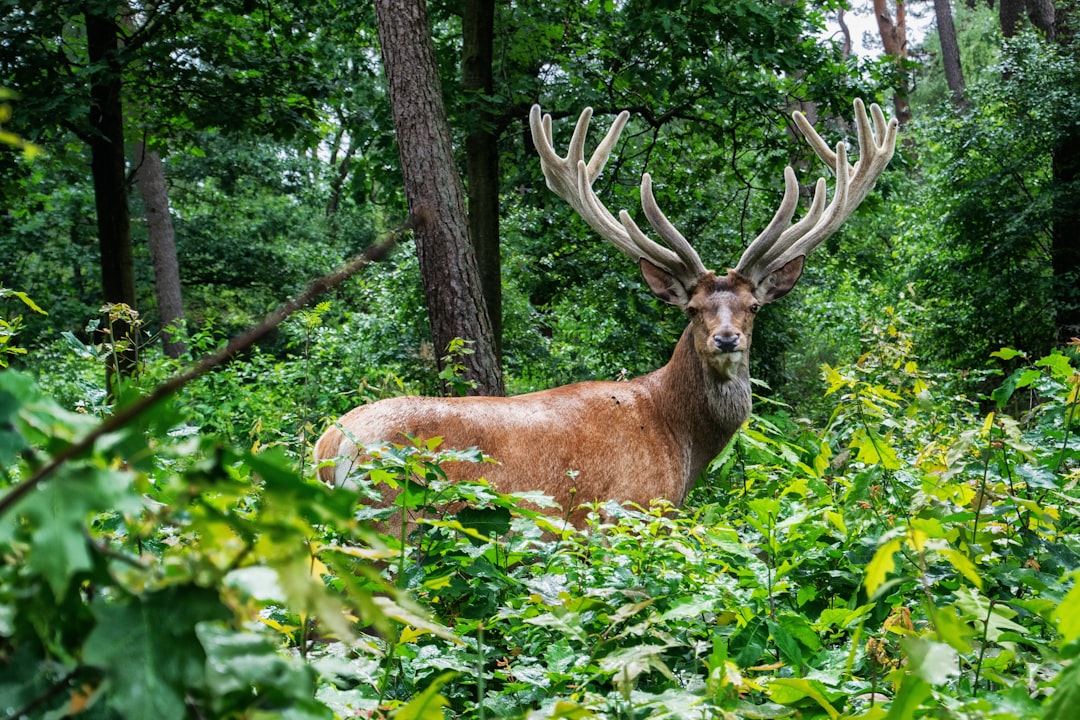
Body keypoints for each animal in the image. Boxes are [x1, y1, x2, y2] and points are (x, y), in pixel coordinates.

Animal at [315, 99, 902, 528]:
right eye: (692, 309)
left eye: (754, 306)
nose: (727, 339)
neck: (678, 439)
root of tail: (326, 449)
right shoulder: (626, 511)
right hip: (389, 519)